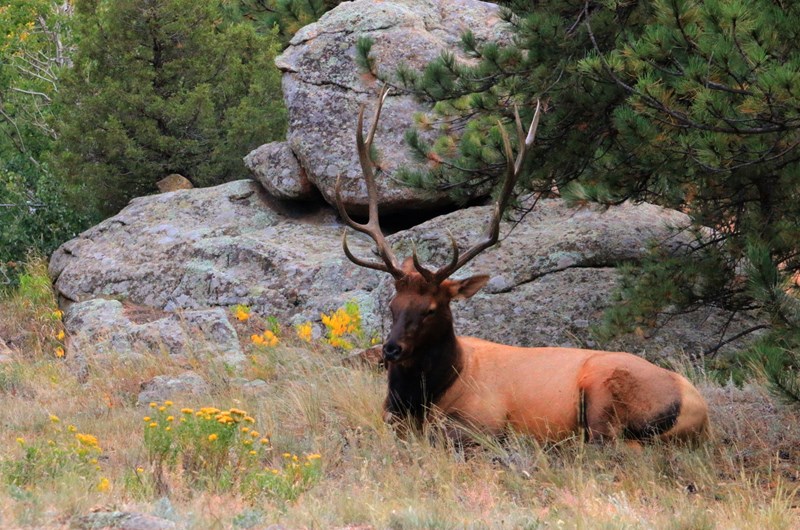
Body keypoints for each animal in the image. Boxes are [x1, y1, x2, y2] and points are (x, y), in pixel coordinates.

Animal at [334, 86, 708, 442]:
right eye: (393, 305)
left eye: (430, 309)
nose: (391, 349)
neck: (425, 396)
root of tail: (698, 408)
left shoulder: (484, 420)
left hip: (606, 390)